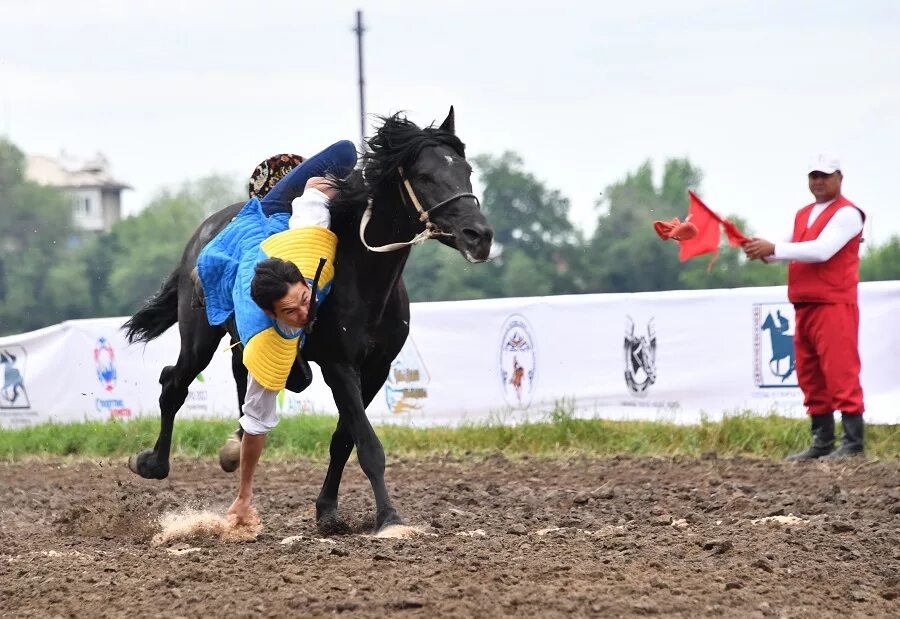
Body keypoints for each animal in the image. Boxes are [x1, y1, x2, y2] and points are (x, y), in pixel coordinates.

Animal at [122, 106, 492, 532]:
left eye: (467, 170)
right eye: (425, 176)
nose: (480, 235)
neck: (361, 276)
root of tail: (207, 230)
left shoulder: (377, 368)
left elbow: (344, 439)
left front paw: (328, 509)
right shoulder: (338, 364)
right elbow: (367, 443)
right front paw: (388, 517)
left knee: (238, 378)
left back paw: (233, 446)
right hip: (199, 337)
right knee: (174, 383)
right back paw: (151, 462)